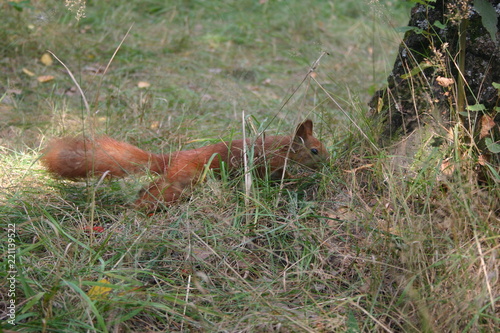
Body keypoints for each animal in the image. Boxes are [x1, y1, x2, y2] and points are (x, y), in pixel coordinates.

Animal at [40, 118, 328, 208]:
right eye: (314, 150)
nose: (327, 163)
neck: (281, 147)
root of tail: (171, 158)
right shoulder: (268, 164)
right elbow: (276, 178)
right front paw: (298, 180)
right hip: (181, 181)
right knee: (155, 194)